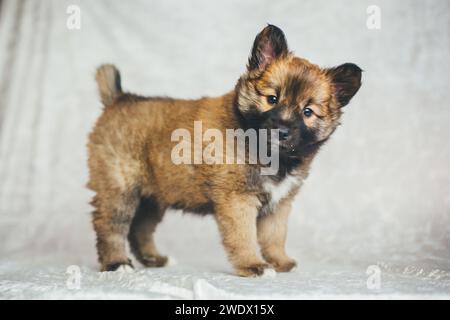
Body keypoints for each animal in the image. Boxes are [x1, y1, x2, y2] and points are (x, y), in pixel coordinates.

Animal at [88, 25, 362, 276]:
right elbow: (244, 236)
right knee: (110, 226)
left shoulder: (279, 205)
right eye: (271, 99)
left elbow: (275, 236)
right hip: (119, 188)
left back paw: (155, 259)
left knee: (140, 228)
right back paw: (117, 263)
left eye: (308, 112)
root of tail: (119, 98)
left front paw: (279, 261)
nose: (282, 131)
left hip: (153, 196)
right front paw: (253, 265)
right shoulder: (238, 200)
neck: (269, 152)